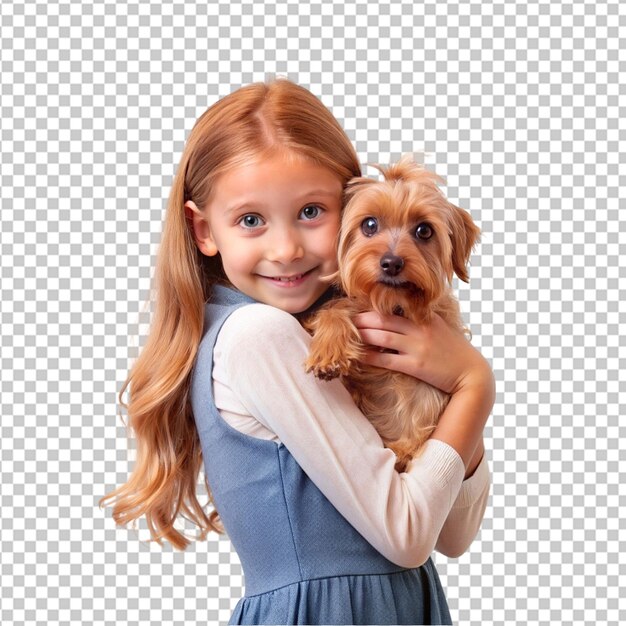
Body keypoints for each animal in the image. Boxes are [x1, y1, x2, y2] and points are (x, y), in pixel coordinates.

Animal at [302, 155, 478, 468]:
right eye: (370, 224)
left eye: (424, 230)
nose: (392, 263)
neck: (392, 306)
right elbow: (335, 309)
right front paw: (329, 351)